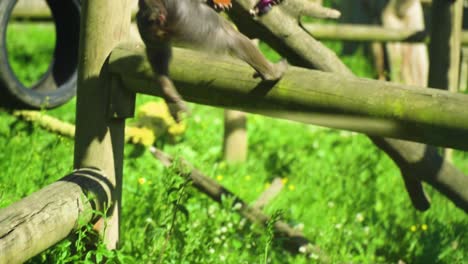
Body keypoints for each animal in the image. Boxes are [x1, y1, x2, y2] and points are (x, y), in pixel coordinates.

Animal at [137, 0, 288, 121]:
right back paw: (272, 73)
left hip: (150, 29)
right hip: (190, 19)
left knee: (157, 52)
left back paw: (168, 92)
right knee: (230, 36)